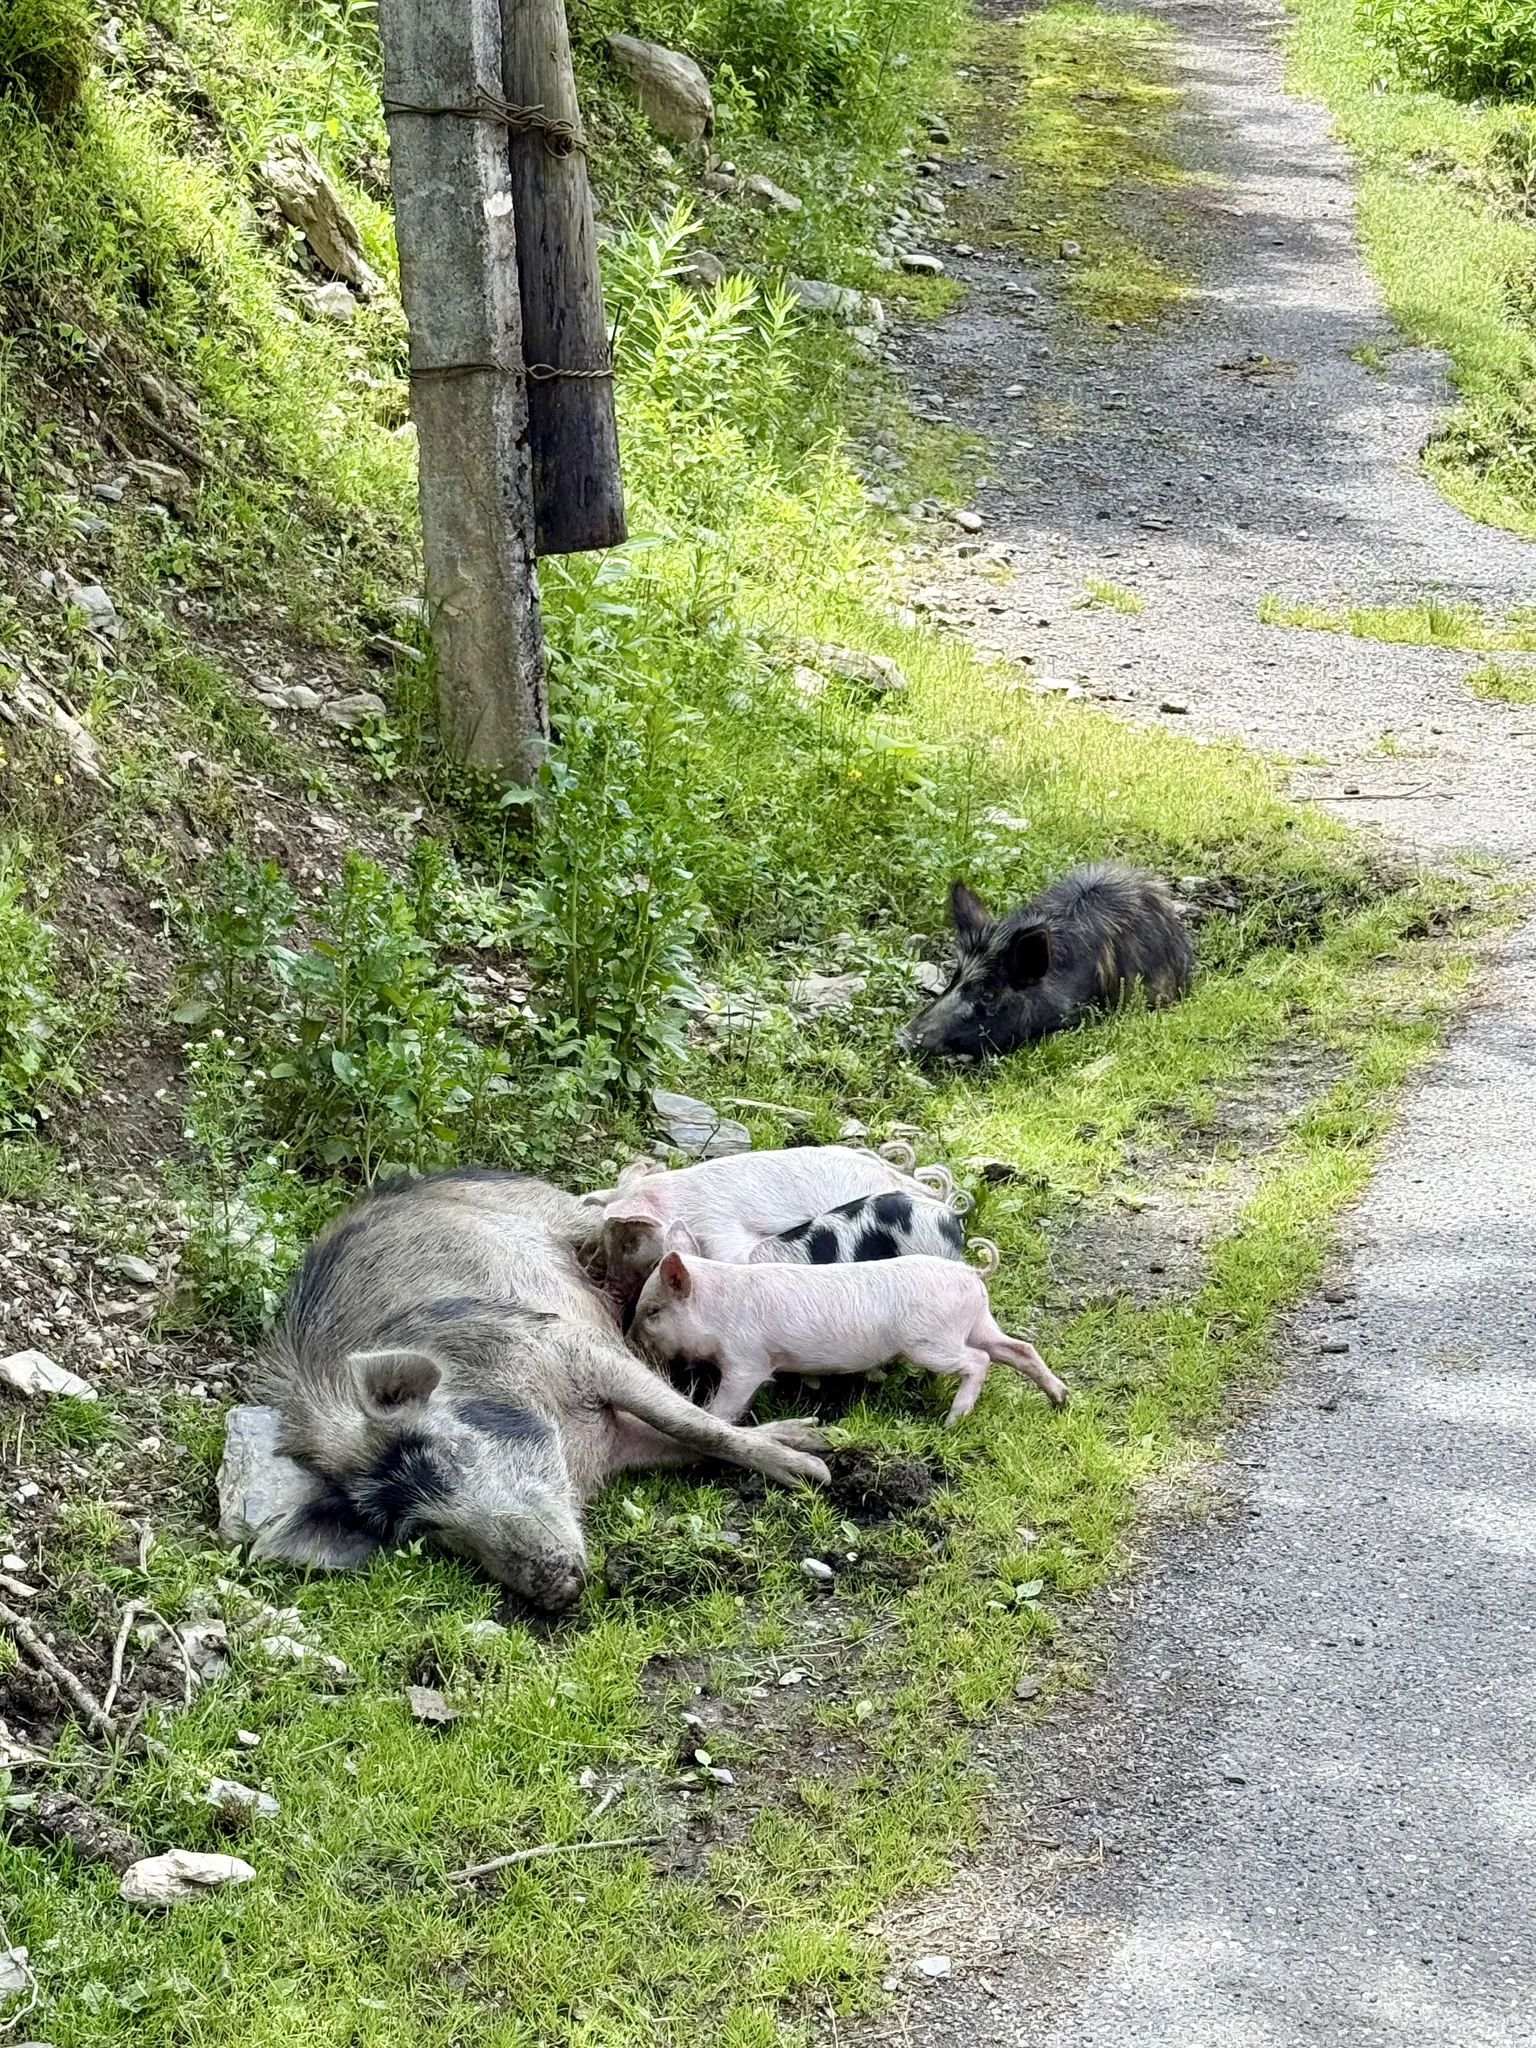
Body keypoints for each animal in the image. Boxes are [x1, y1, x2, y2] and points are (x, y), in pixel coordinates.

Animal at [251, 1169, 829, 1610]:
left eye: (454, 1452)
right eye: (425, 1529)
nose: (554, 1589)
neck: (576, 1444)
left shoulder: (573, 1347)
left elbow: (694, 1423)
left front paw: (814, 1465)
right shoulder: (619, 1442)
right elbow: (686, 1441)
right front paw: (805, 1443)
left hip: (576, 1222)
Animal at [632, 1244, 1067, 1424]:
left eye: (653, 1311)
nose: (632, 1340)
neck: (716, 1309)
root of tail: (970, 1271)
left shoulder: (746, 1358)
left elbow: (730, 1400)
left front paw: (710, 1415)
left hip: (930, 1340)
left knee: (980, 1360)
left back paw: (952, 1421)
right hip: (979, 1323)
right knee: (1019, 1347)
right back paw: (1060, 1400)